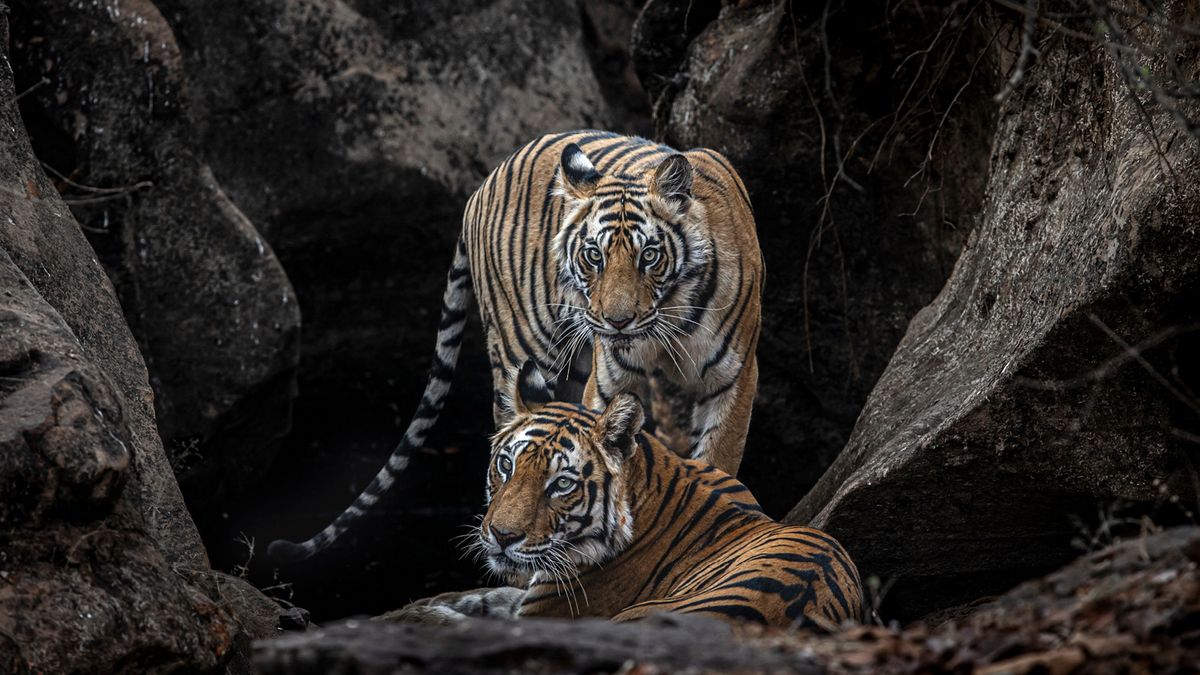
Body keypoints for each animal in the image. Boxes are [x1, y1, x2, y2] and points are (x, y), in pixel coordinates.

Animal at [268, 131, 763, 562]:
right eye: (594, 256)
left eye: (650, 256)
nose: (616, 321)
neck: (669, 321)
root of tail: (484, 181)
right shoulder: (610, 380)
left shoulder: (733, 379)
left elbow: (717, 461)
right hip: (522, 351)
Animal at [393, 365, 864, 629]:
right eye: (506, 465)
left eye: (561, 484)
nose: (501, 536)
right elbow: (482, 596)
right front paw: (426, 602)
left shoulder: (551, 613)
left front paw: (415, 616)